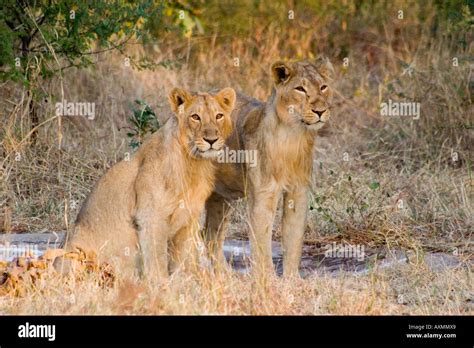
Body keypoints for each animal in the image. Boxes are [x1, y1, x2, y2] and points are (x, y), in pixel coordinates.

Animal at [55, 88, 237, 282]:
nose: (211, 140)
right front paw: (161, 284)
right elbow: (157, 258)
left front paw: (188, 281)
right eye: (195, 117)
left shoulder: (188, 219)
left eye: (219, 116)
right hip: (73, 254)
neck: (193, 163)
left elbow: (185, 259)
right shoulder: (151, 216)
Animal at [206, 58, 336, 278]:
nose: (320, 111)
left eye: (323, 87)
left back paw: (226, 277)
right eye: (300, 89)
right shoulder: (262, 196)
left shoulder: (298, 193)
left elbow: (293, 240)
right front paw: (268, 280)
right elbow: (261, 244)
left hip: (221, 198)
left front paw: (292, 280)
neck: (293, 136)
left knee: (210, 238)